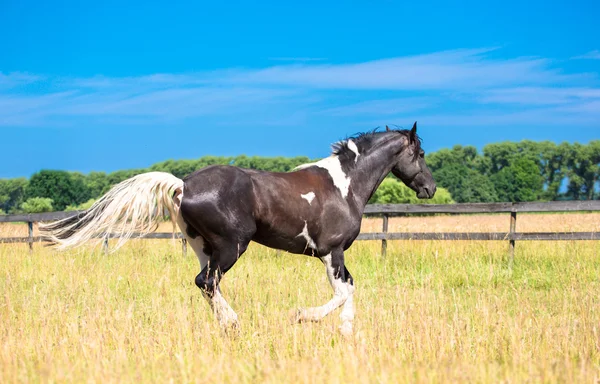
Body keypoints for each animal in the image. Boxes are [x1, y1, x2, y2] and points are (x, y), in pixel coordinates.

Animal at [41, 121, 436, 334]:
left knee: (205, 284)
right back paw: (233, 324)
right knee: (208, 282)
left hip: (204, 247)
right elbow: (343, 292)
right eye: (419, 154)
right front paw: (303, 316)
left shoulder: (333, 255)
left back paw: (225, 323)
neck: (344, 185)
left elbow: (351, 290)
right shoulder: (330, 251)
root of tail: (183, 184)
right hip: (232, 246)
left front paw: (346, 332)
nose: (430, 188)